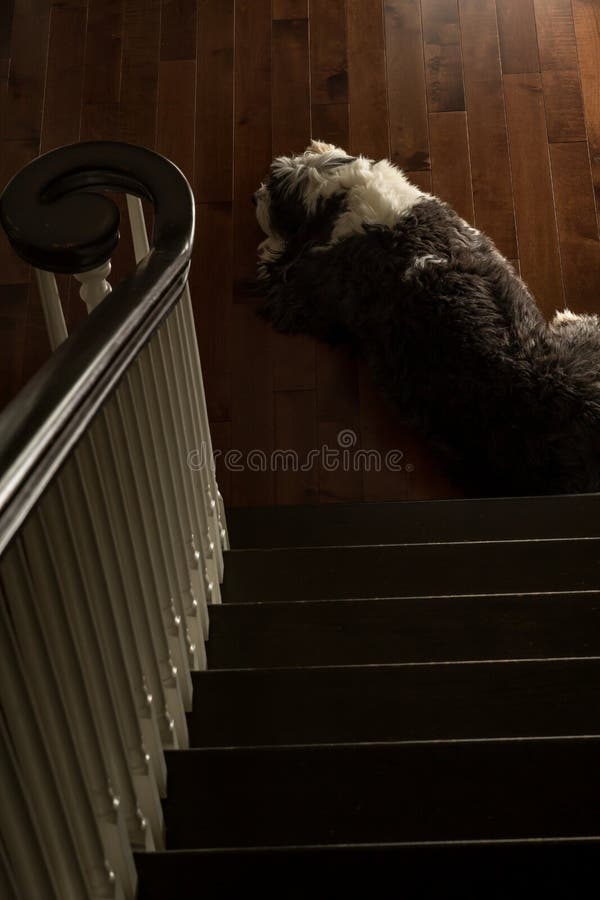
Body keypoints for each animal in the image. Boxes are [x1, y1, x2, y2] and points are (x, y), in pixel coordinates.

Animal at [254, 139, 600, 500]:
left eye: (273, 191)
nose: (255, 195)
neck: (347, 193)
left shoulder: (305, 295)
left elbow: (275, 268)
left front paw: (271, 248)